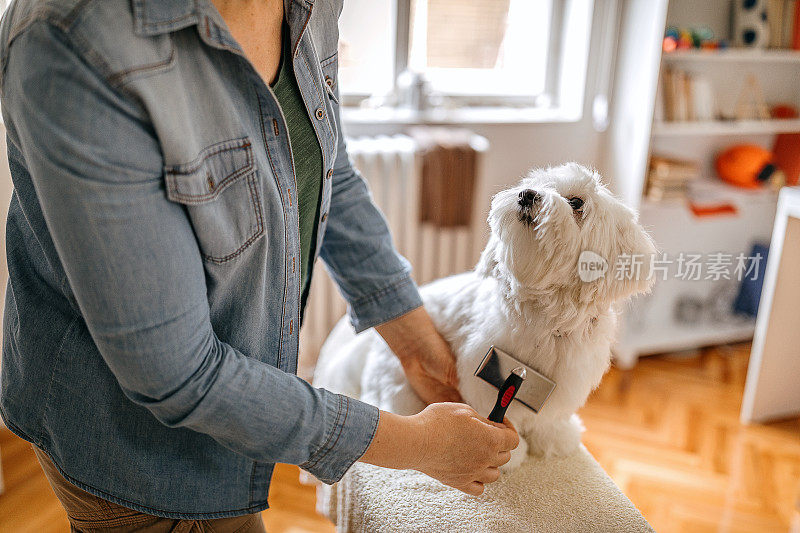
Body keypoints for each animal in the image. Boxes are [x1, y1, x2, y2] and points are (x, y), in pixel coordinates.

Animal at [312, 162, 656, 470]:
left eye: (577, 203)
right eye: (535, 183)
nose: (528, 194)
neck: (547, 319)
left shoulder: (566, 383)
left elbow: (550, 420)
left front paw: (557, 440)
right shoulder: (487, 372)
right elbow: (501, 413)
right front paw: (512, 456)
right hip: (398, 387)